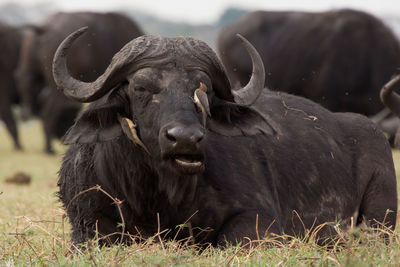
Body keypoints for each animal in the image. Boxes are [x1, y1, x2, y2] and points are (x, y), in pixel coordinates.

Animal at [15, 11, 144, 154]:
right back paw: (49, 149)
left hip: (29, 72)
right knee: (47, 112)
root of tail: (44, 27)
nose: (62, 138)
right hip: (57, 90)